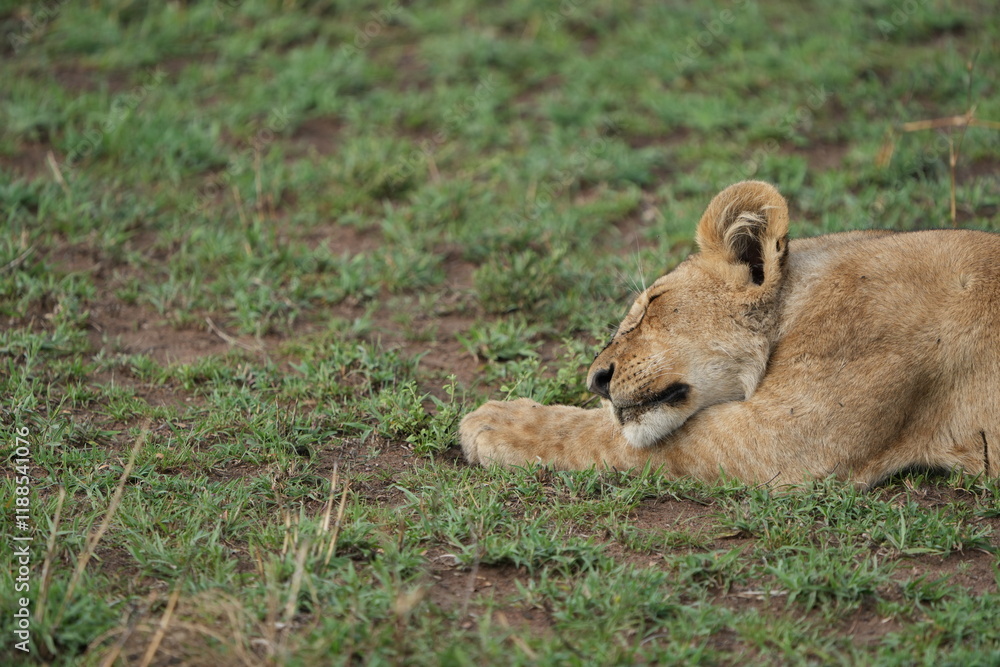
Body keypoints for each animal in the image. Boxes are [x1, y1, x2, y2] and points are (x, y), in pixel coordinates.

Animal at [460, 180, 1000, 487]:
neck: (796, 308)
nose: (596, 380)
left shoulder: (785, 440)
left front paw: (496, 422)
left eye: (651, 306)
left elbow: (617, 438)